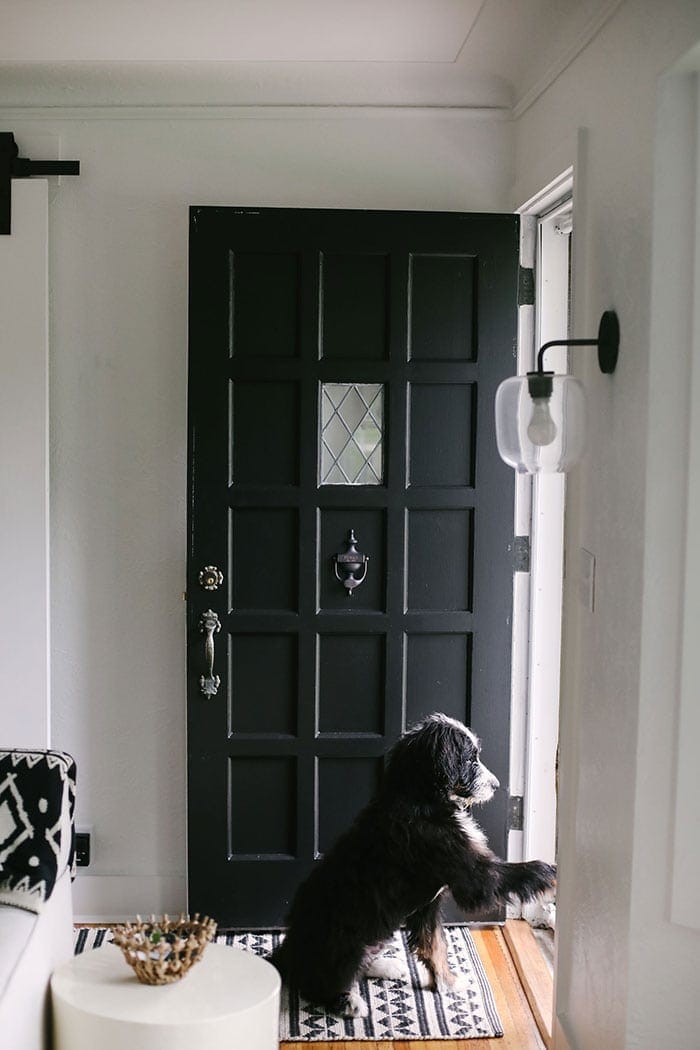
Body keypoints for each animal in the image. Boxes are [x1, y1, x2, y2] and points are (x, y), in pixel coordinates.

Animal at [270, 713, 554, 1016]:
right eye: (469, 759)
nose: (497, 785)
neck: (423, 800)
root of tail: (287, 953)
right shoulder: (474, 876)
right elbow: (518, 872)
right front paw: (551, 873)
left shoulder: (429, 905)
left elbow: (435, 945)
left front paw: (448, 983)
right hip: (342, 942)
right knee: (318, 981)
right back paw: (348, 1001)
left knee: (359, 964)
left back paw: (389, 966)